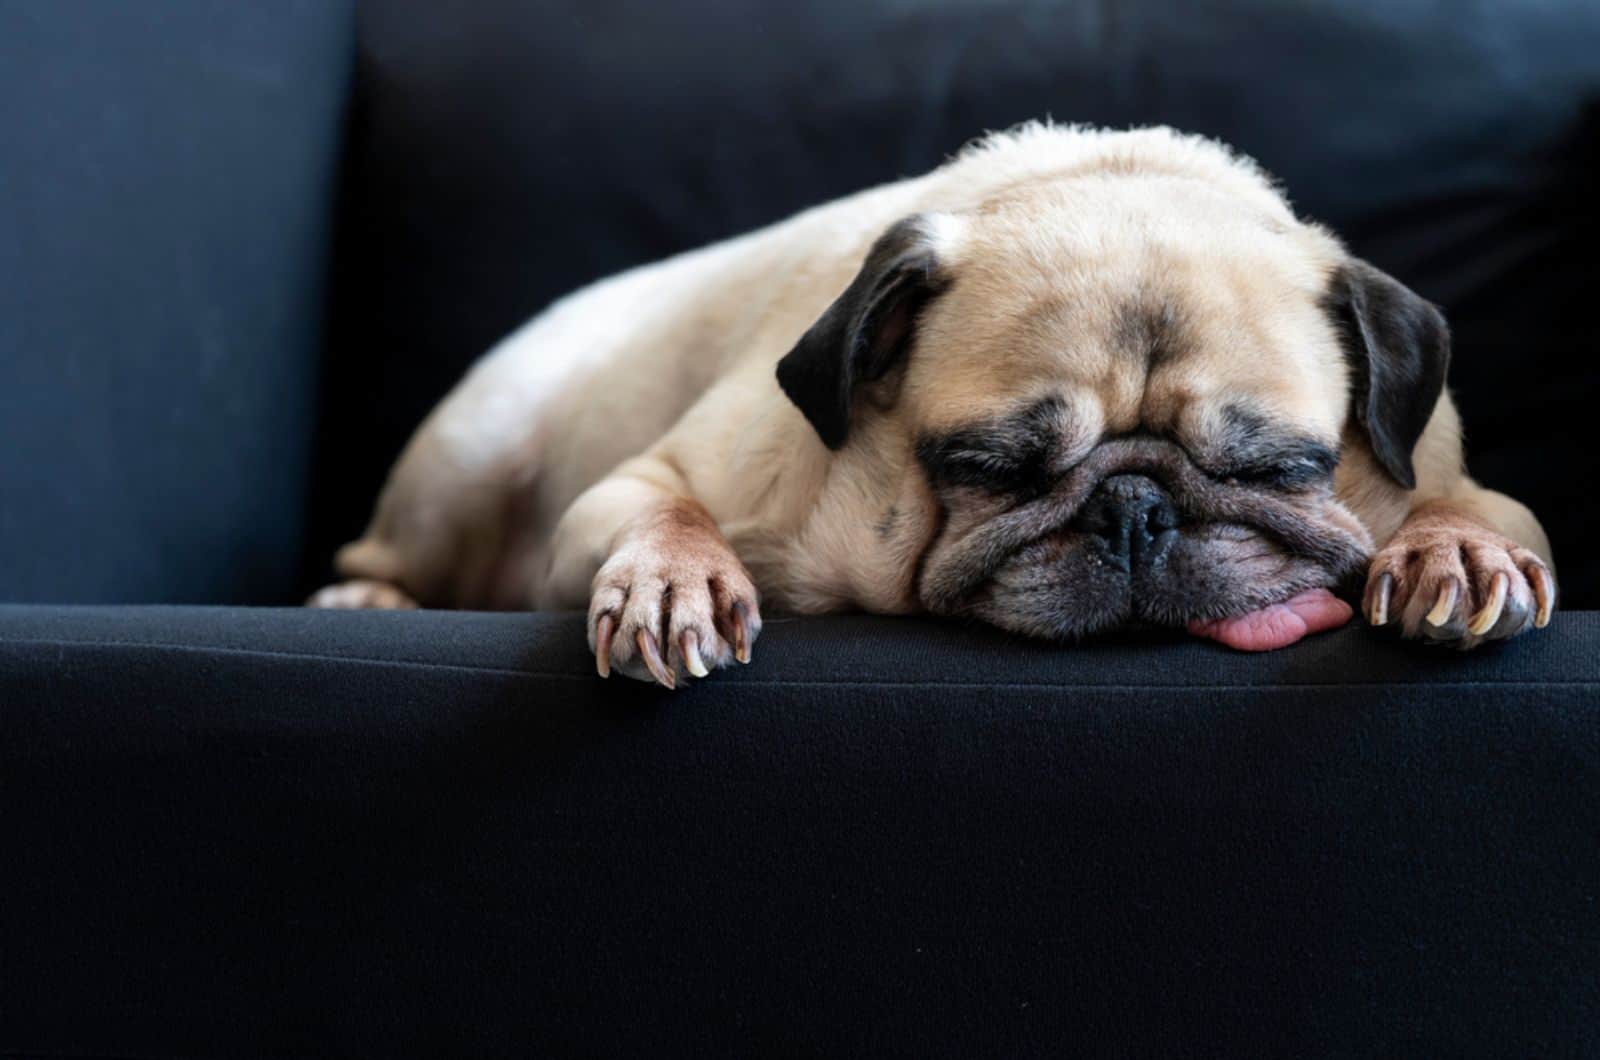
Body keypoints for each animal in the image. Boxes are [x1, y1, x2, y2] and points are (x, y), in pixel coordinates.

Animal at [308, 124, 1548, 688]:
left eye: (1279, 470)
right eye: (991, 468)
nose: (1135, 511)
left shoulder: (1456, 476)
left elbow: (1476, 510)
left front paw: (1454, 557)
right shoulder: (643, 482)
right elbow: (667, 513)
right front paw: (676, 582)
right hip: (470, 455)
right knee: (390, 547)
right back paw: (366, 600)